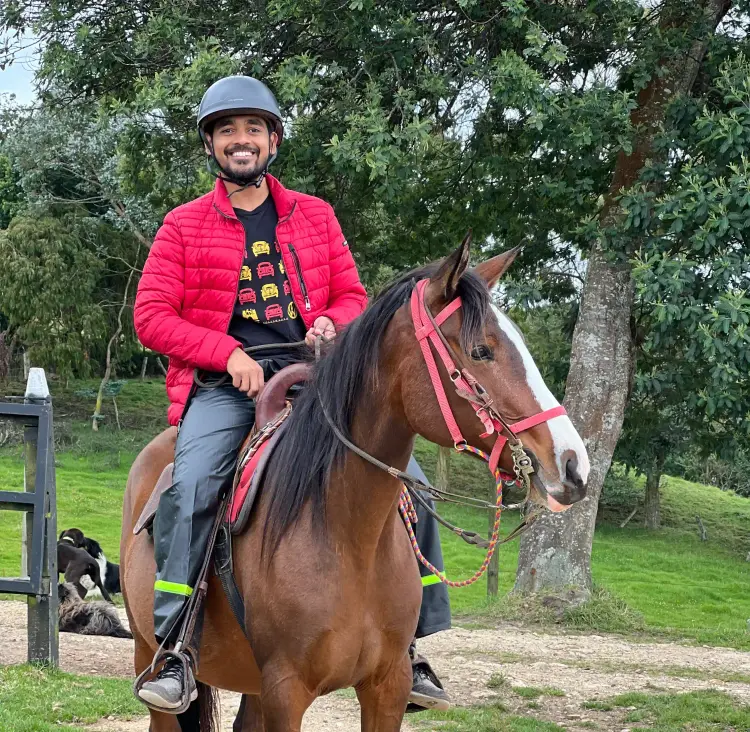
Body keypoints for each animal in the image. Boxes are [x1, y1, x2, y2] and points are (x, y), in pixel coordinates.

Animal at [121, 235, 590, 732]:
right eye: (482, 351)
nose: (574, 466)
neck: (345, 533)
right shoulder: (285, 690)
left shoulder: (388, 686)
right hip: (150, 659)